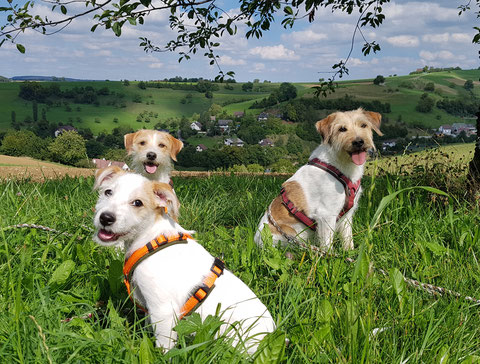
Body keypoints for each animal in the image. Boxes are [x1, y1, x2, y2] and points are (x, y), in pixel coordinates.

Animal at [92, 166, 276, 354]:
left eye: (137, 203)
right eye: (108, 192)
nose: (105, 218)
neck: (150, 240)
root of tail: (273, 338)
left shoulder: (163, 310)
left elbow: (165, 347)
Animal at [255, 108, 382, 250]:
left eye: (363, 125)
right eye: (342, 129)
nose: (359, 141)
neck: (340, 166)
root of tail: (256, 242)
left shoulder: (347, 216)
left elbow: (348, 240)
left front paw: (349, 253)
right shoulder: (326, 215)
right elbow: (327, 245)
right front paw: (330, 255)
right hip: (288, 237)